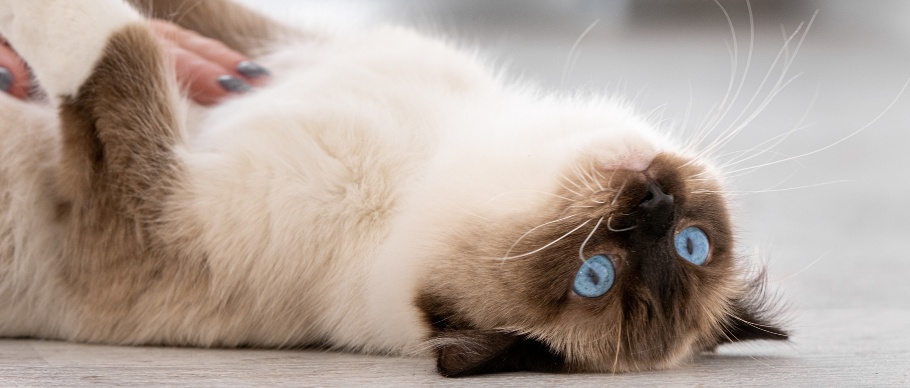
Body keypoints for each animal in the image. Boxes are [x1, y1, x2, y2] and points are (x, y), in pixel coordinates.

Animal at [0, 0, 788, 378]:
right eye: (694, 241)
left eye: (594, 278)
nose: (653, 205)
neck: (428, 155)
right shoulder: (269, 51)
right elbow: (185, 19)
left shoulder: (144, 220)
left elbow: (115, 41)